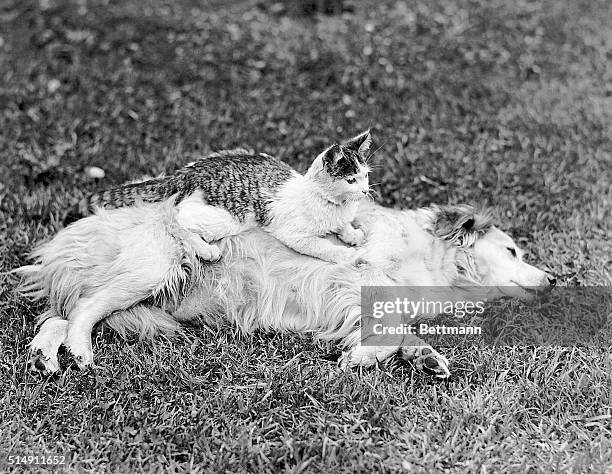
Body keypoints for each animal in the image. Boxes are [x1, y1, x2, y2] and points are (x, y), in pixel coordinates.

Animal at [17, 200, 556, 378]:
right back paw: (81, 355)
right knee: (82, 313)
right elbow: (386, 326)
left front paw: (423, 357)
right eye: (513, 251)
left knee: (57, 317)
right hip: (155, 266)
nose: (553, 281)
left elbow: (403, 330)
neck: (432, 256)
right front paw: (364, 356)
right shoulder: (356, 276)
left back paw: (48, 359)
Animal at [68, 130, 370, 262]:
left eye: (366, 175)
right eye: (350, 179)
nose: (366, 190)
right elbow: (322, 246)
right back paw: (205, 249)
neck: (335, 205)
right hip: (228, 218)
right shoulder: (295, 235)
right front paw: (346, 254)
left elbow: (343, 226)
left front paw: (352, 233)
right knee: (174, 216)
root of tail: (188, 172)